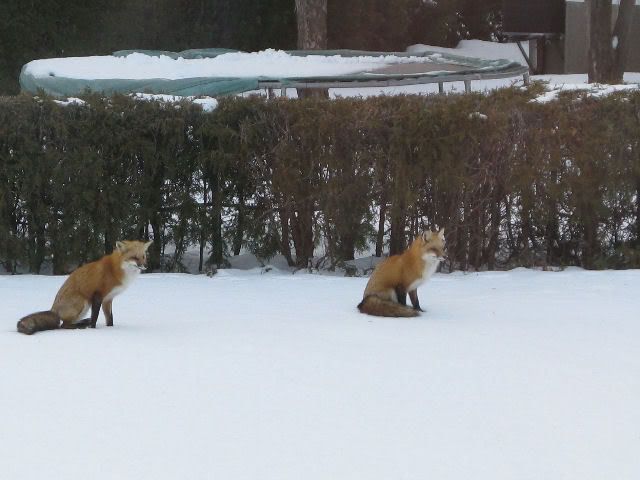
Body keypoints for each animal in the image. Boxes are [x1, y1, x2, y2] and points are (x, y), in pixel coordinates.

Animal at [16, 239, 152, 334]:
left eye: (143, 256)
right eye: (134, 257)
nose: (145, 266)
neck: (115, 270)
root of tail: (53, 309)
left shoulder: (108, 299)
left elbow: (110, 319)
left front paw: (110, 329)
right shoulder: (97, 295)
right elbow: (95, 317)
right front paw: (93, 329)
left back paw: (83, 323)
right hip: (83, 302)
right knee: (63, 325)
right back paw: (80, 327)